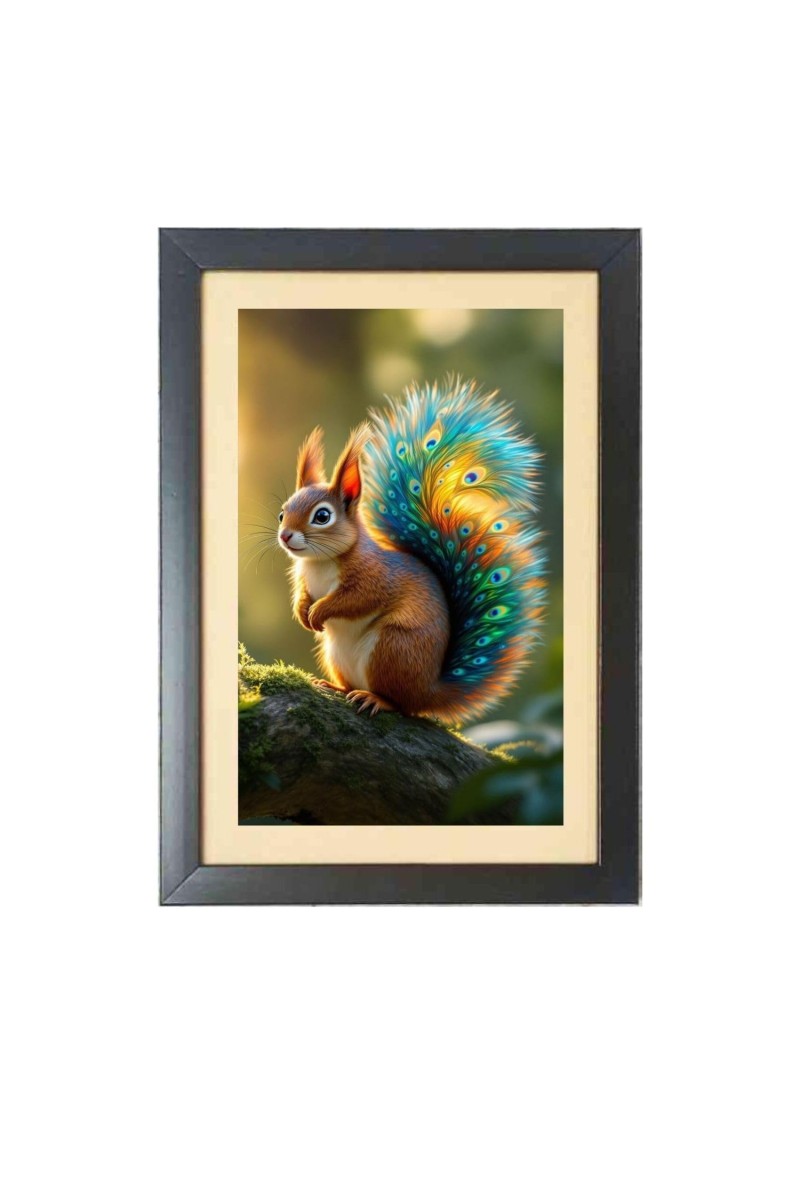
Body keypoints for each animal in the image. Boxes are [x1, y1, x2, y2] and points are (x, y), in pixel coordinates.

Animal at [277, 377, 546, 723]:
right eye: (282, 512)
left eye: (322, 516)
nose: (285, 536)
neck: (320, 562)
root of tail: (428, 691)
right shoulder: (303, 577)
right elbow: (302, 594)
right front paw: (302, 611)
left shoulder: (374, 576)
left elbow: (356, 599)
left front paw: (320, 610)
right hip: (335, 653)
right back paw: (334, 686)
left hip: (394, 646)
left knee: (402, 705)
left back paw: (376, 699)